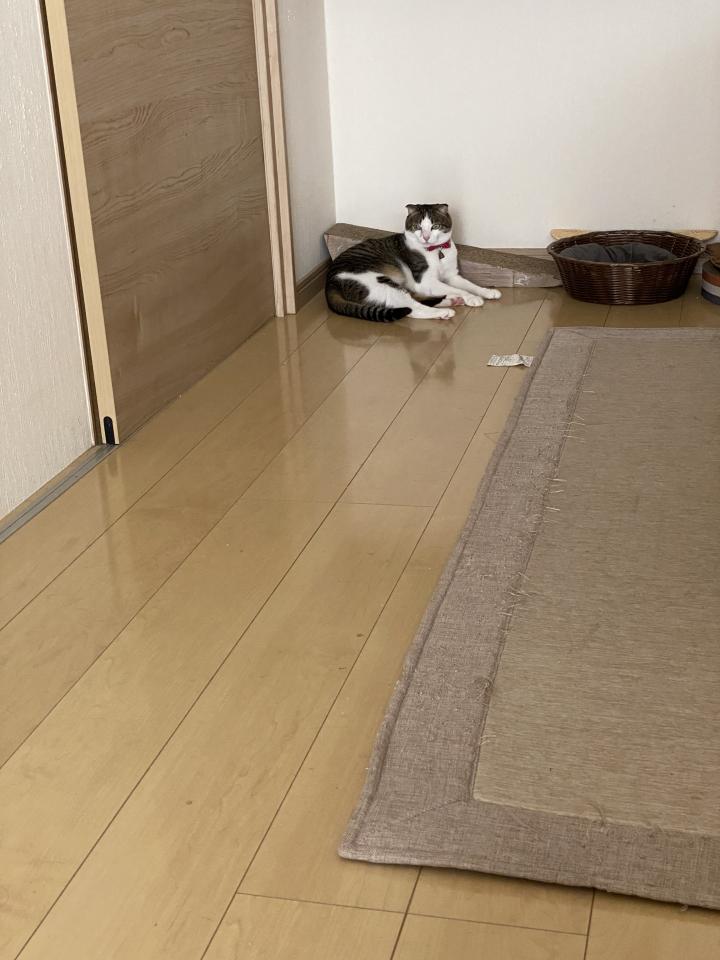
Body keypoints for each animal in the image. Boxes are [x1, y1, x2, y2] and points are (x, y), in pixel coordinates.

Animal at [325, 203, 501, 322]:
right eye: (417, 227)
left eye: (435, 226)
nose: (426, 237)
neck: (437, 251)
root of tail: (329, 282)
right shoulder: (425, 281)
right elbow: (460, 289)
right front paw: (472, 298)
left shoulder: (452, 275)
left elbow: (470, 285)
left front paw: (487, 291)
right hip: (380, 282)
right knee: (412, 308)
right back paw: (445, 311)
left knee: (416, 298)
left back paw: (451, 301)